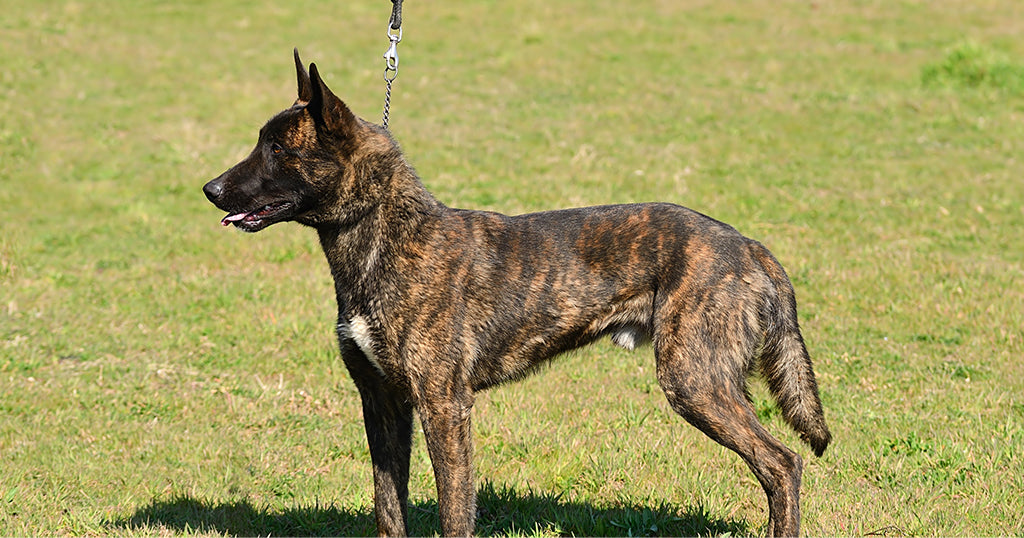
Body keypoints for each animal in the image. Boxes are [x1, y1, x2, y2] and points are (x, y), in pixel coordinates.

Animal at [201, 49, 831, 532]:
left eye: (278, 150)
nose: (210, 189)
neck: (387, 236)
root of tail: (749, 246)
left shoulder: (445, 406)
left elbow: (455, 513)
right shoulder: (382, 404)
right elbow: (388, 510)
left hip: (695, 383)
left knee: (783, 465)